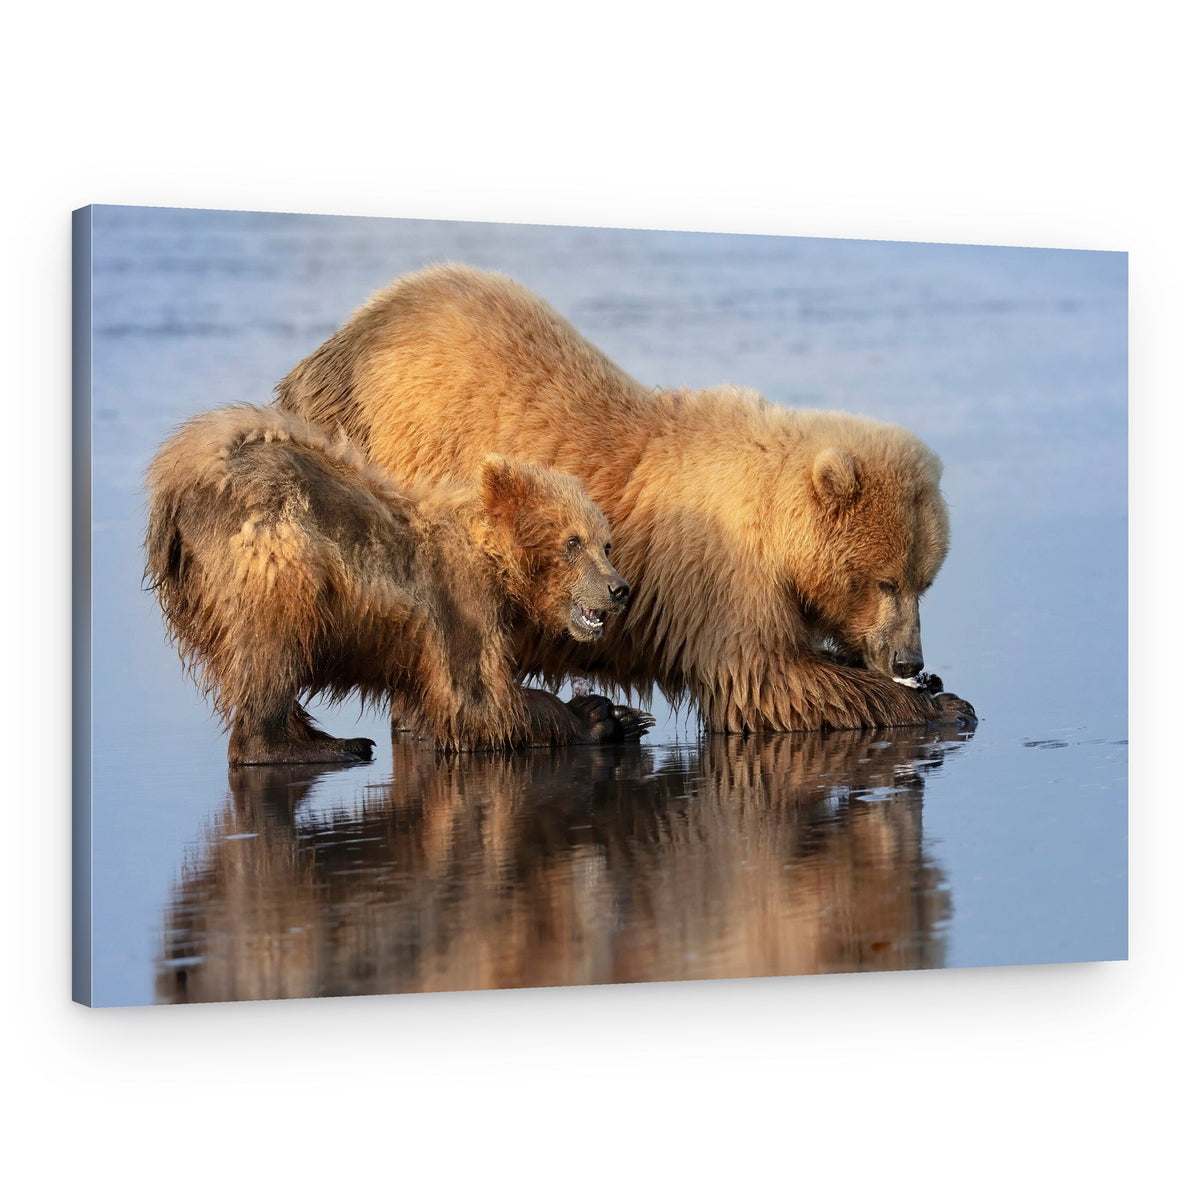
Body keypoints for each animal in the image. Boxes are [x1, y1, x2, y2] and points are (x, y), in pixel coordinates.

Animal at [144, 404, 653, 762]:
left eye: (606, 544)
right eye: (572, 541)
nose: (619, 589)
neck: (500, 564)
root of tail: (182, 480)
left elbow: (426, 707)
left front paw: (625, 716)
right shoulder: (462, 600)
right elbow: (478, 703)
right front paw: (600, 716)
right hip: (275, 553)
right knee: (273, 647)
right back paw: (326, 745)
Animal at [275, 264, 976, 735]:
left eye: (925, 580)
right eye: (884, 580)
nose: (910, 657)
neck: (778, 532)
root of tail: (332, 352)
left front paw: (930, 683)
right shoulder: (722, 570)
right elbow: (768, 679)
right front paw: (938, 703)